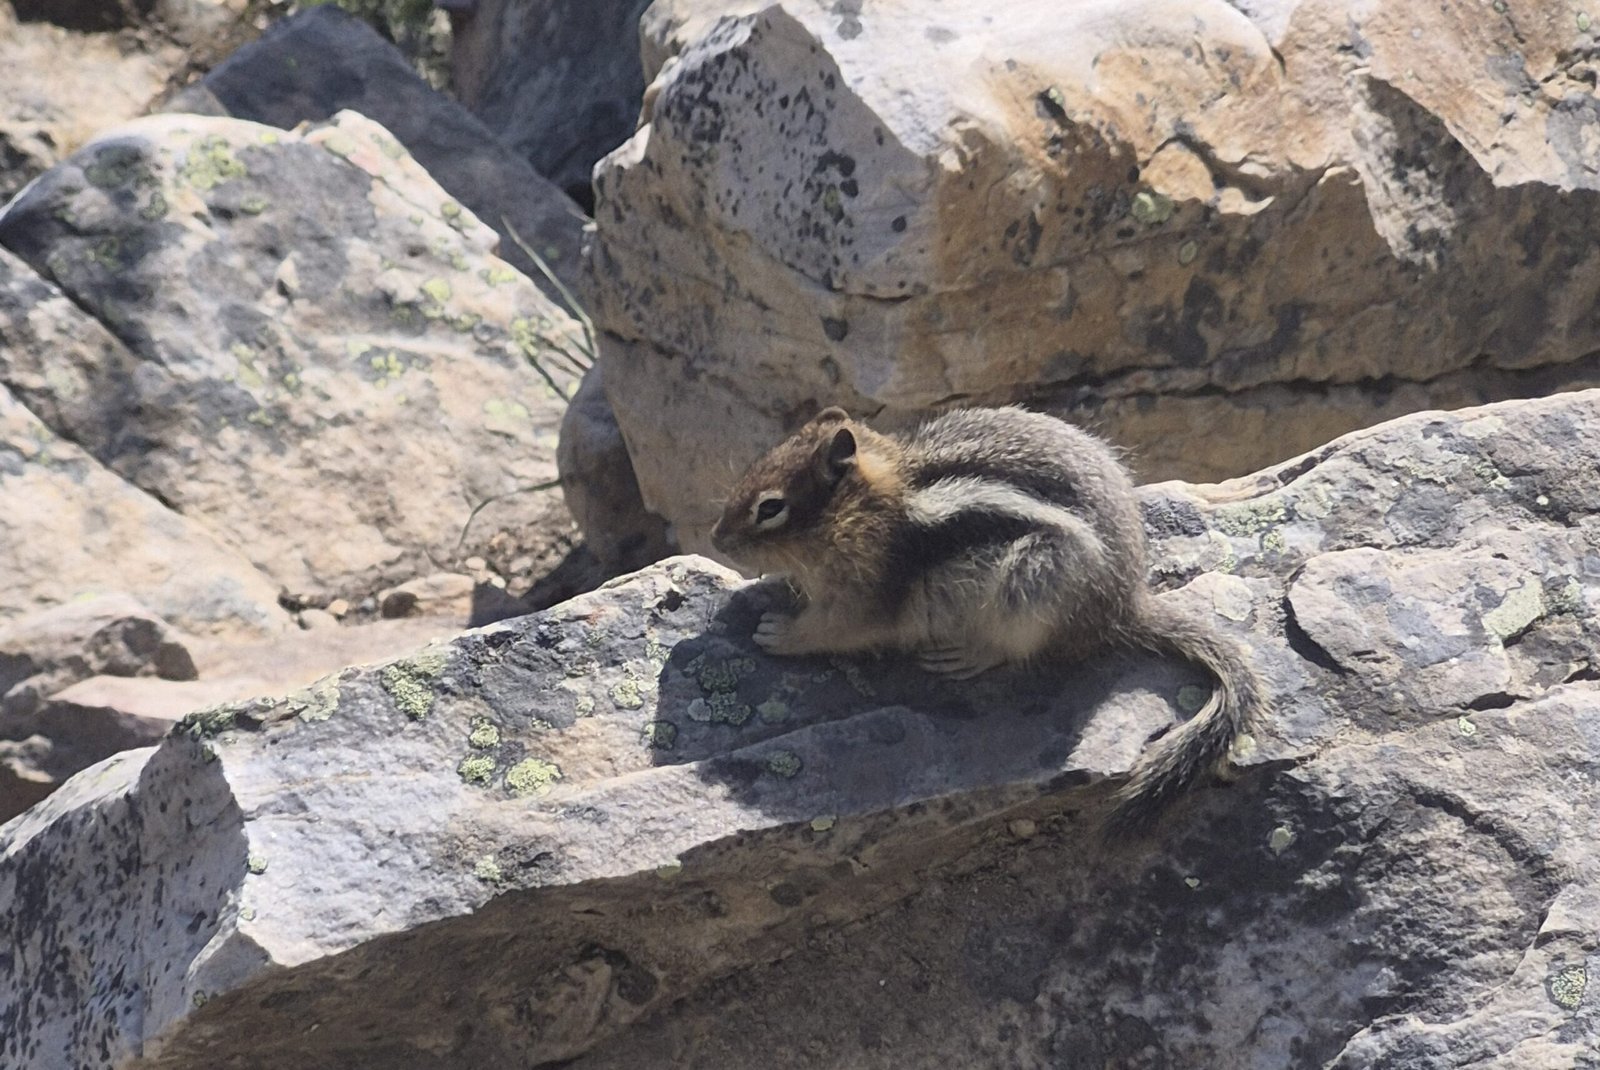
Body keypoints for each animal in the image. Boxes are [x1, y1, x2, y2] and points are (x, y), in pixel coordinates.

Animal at [710, 405, 1265, 831]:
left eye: (771, 508)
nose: (716, 538)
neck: (864, 506)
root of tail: (1125, 605)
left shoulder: (866, 597)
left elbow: (833, 629)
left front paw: (778, 631)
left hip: (1030, 584)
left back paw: (966, 655)